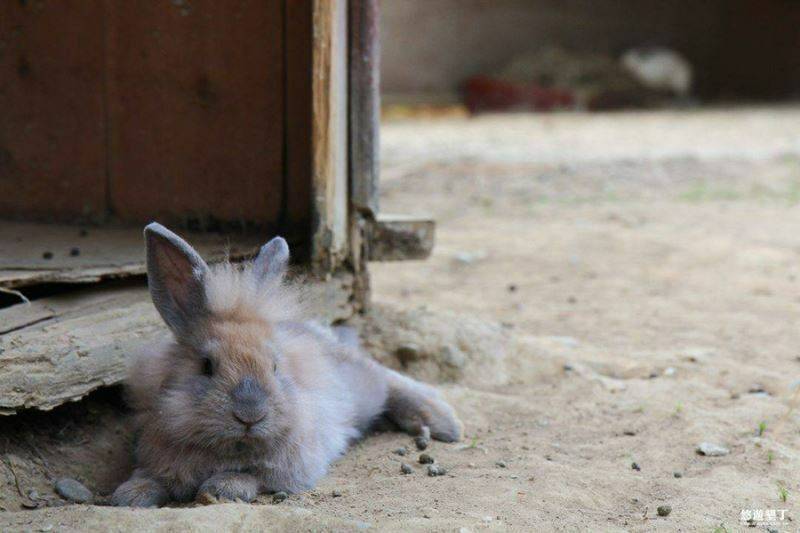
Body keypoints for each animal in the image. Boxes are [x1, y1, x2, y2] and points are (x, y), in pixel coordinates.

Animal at [111, 222, 462, 504]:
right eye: (206, 366)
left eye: (275, 366)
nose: (250, 415)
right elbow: (147, 476)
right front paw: (129, 496)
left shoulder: (291, 467)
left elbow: (252, 477)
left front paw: (221, 489)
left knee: (391, 381)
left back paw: (443, 424)